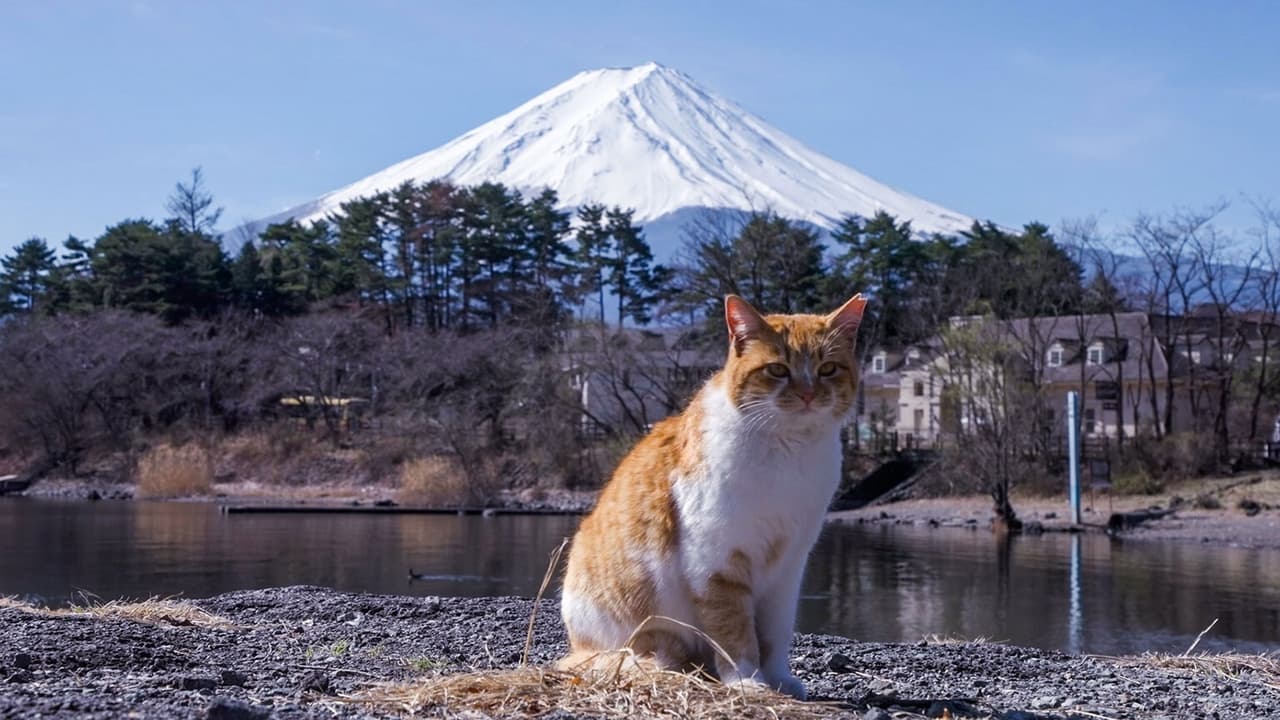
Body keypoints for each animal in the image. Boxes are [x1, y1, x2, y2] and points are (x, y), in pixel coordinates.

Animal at [563, 289, 870, 696]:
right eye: (777, 370)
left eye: (828, 369)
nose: (807, 394)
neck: (789, 452)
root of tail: (577, 644)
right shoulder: (717, 563)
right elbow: (734, 631)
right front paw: (748, 681)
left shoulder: (789, 567)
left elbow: (775, 633)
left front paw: (778, 678)